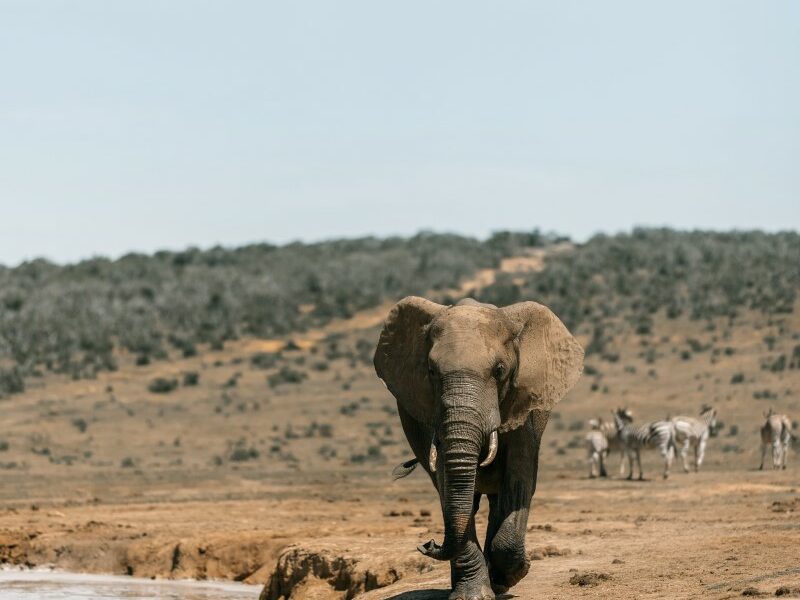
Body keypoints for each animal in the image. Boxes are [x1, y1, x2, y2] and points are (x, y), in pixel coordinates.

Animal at [374, 296, 583, 600]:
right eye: (431, 372)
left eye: (499, 370)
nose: (427, 543)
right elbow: (448, 483)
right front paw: (473, 595)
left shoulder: (524, 408)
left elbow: (519, 479)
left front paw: (513, 575)